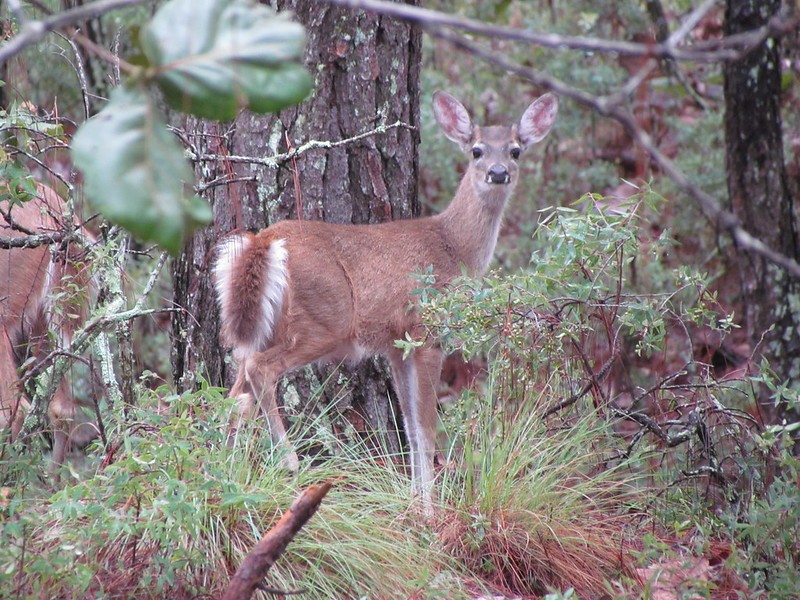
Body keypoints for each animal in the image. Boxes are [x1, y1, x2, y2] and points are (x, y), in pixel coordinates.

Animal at [212, 90, 560, 510]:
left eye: (515, 150)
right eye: (476, 150)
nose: (497, 172)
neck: (453, 247)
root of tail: (265, 240)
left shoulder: (397, 344)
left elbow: (409, 427)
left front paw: (414, 501)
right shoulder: (427, 331)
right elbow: (426, 429)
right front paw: (430, 510)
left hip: (264, 324)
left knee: (233, 391)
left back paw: (222, 475)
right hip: (324, 320)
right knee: (260, 370)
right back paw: (288, 461)